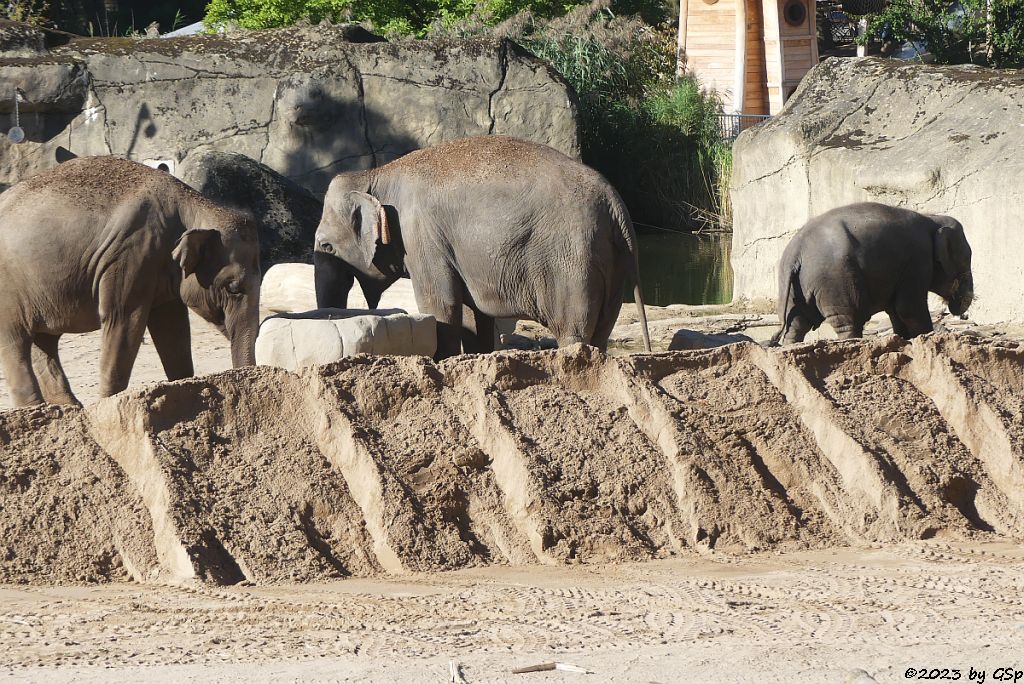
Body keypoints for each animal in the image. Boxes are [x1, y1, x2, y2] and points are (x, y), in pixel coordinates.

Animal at [0, 157, 262, 409]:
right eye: (233, 288)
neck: (193, 205)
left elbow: (171, 326)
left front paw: (185, 387)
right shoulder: (133, 252)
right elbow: (123, 318)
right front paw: (108, 403)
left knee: (43, 342)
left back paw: (67, 407)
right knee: (15, 342)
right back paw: (34, 408)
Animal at [311, 133, 651, 358]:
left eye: (326, 246)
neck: (376, 174)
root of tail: (615, 202)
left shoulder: (421, 235)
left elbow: (440, 304)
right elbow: (472, 313)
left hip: (573, 260)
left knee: (573, 331)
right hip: (612, 260)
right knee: (602, 331)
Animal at [774, 201, 974, 342]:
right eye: (966, 262)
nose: (963, 314)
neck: (932, 218)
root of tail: (796, 249)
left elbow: (895, 310)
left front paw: (905, 339)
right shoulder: (917, 259)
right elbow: (908, 308)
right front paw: (924, 336)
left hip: (795, 285)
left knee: (797, 323)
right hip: (833, 279)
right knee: (847, 320)